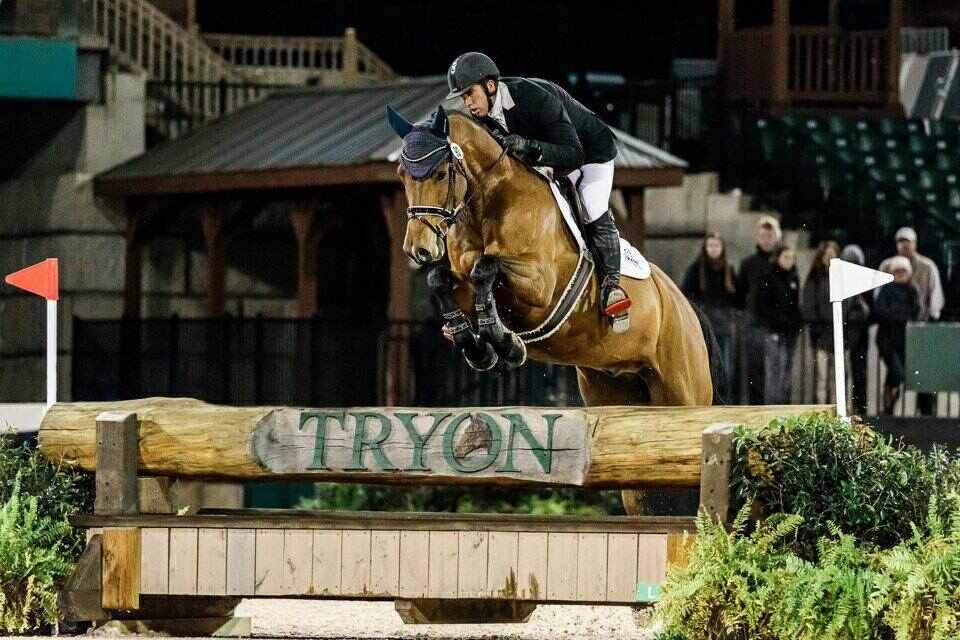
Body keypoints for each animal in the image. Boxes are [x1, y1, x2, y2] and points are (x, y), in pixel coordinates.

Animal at [384, 106, 720, 516]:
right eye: (402, 175)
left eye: (439, 172)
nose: (418, 250)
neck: (486, 205)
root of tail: (687, 307)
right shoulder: (460, 277)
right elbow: (440, 279)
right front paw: (475, 344)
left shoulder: (539, 285)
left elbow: (487, 269)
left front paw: (505, 343)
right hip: (617, 394)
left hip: (681, 391)